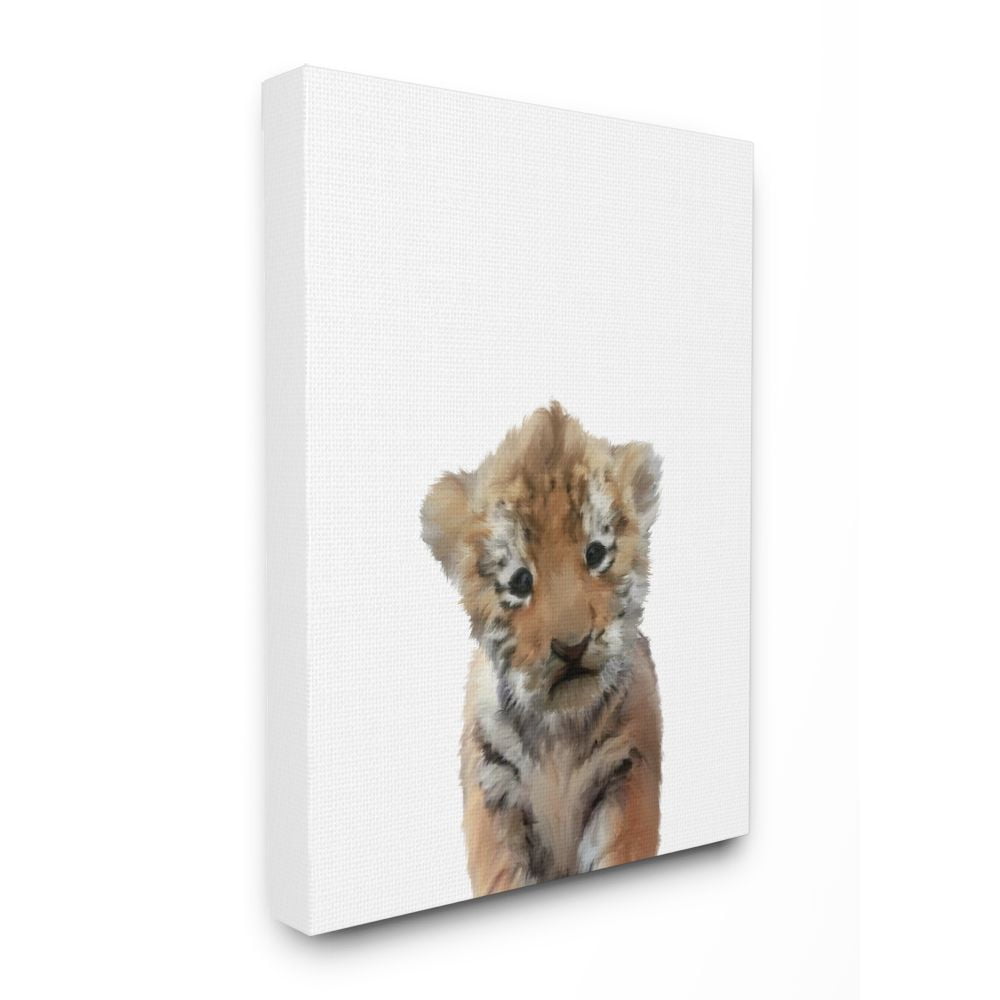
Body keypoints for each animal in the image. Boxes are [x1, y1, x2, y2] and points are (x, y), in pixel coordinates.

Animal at [421, 402, 663, 896]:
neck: (560, 735)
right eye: (520, 581)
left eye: (596, 554)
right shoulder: (494, 790)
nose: (572, 647)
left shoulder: (628, 771)